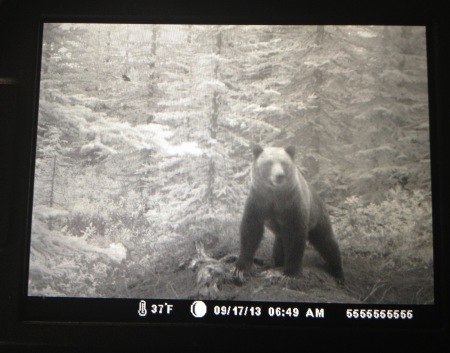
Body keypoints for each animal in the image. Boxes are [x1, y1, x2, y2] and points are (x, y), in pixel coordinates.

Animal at [236, 145, 344, 284]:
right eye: (269, 163)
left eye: (283, 163)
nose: (279, 175)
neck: (275, 194)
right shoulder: (259, 200)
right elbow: (251, 230)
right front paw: (241, 268)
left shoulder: (292, 205)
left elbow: (295, 237)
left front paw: (290, 272)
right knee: (279, 243)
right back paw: (274, 262)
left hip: (317, 217)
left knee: (327, 242)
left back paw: (338, 273)